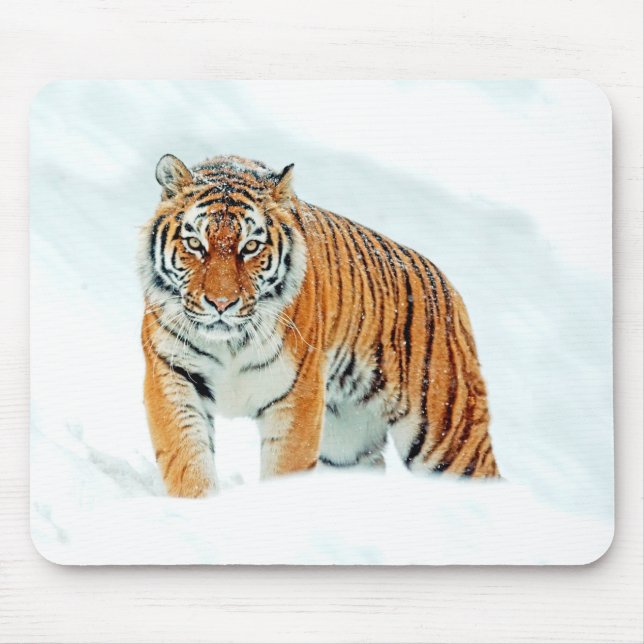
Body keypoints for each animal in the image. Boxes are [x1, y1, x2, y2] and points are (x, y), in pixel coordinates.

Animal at [139, 153, 499, 497]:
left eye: (251, 247)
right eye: (195, 244)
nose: (222, 304)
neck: (229, 342)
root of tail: (448, 288)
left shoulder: (297, 396)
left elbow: (285, 469)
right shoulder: (172, 376)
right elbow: (187, 460)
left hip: (448, 436)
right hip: (348, 444)